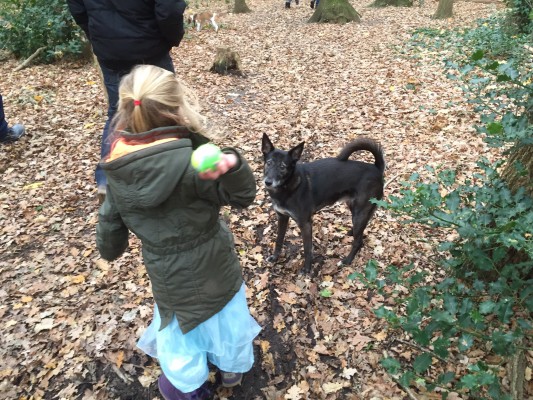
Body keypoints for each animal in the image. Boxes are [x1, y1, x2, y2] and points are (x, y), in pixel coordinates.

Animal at [260, 133, 382, 274]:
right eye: (269, 163)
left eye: (282, 166)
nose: (268, 182)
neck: (287, 187)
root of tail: (376, 168)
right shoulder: (282, 217)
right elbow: (278, 240)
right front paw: (275, 258)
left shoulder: (305, 223)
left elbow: (307, 249)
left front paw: (307, 269)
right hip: (355, 208)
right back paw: (351, 233)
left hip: (360, 212)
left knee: (358, 242)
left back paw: (347, 261)